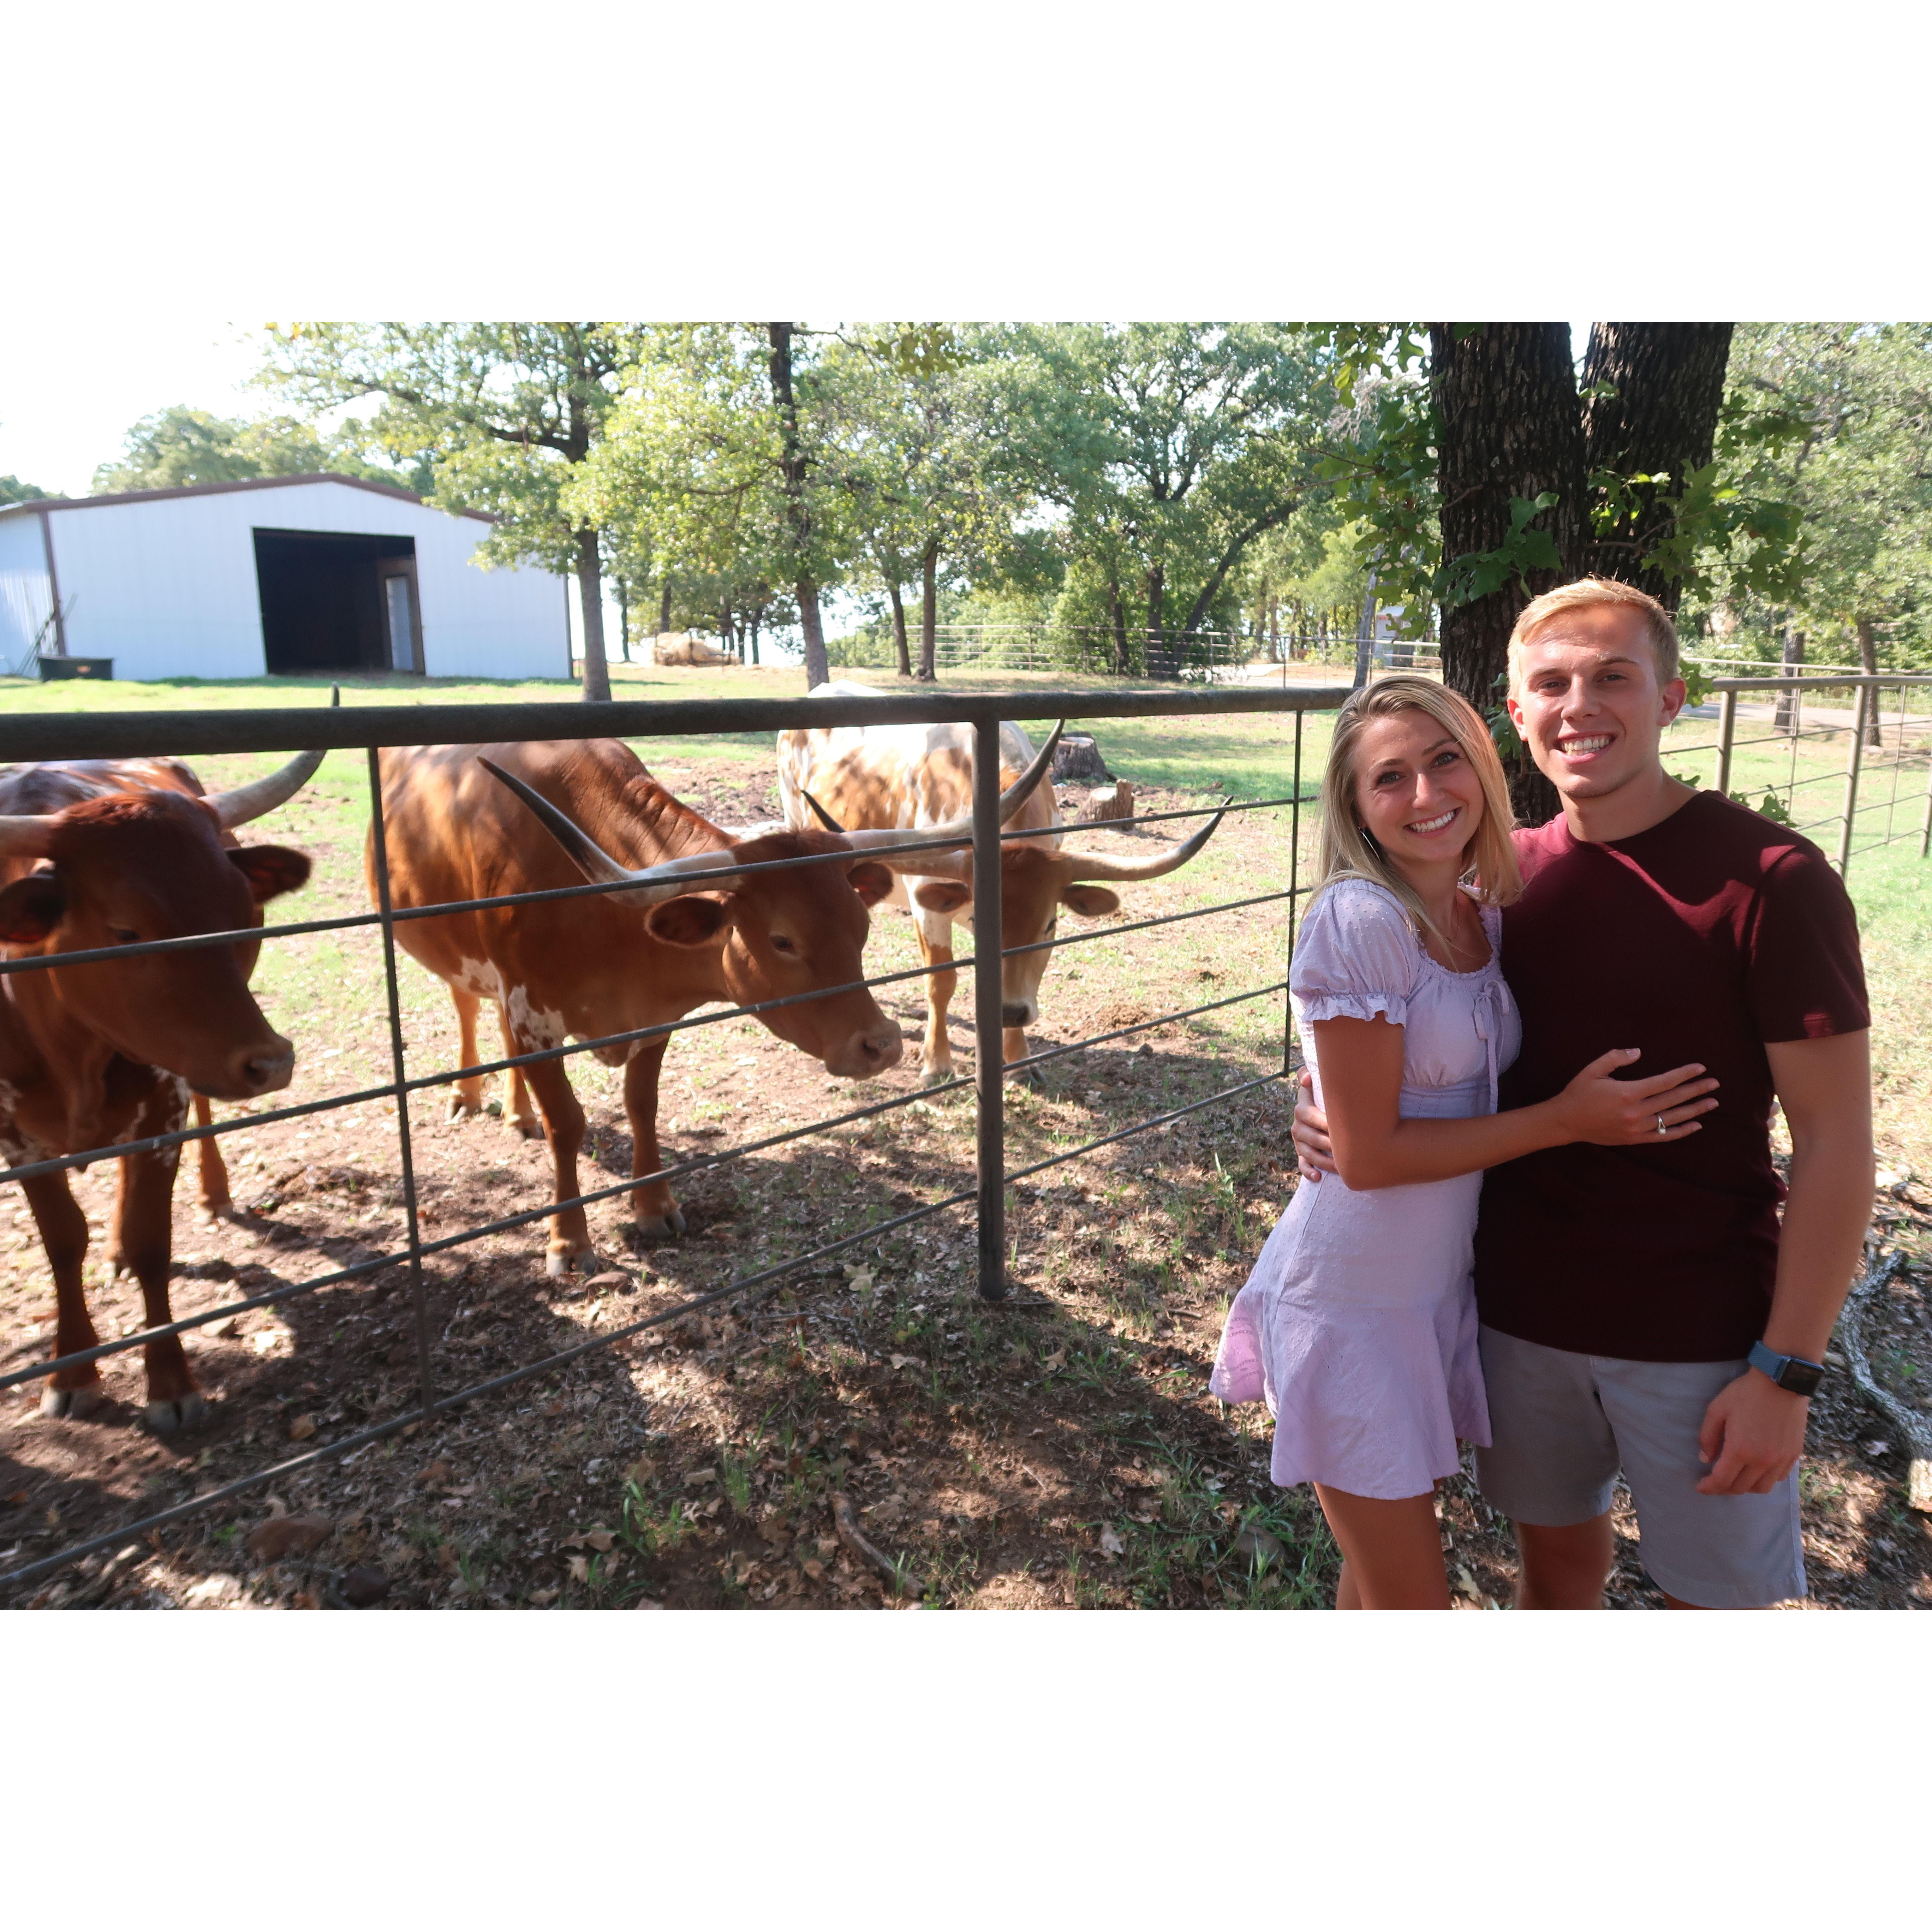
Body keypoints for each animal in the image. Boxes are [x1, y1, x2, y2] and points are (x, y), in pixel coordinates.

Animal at [0, 753, 317, 1437]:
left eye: (239, 914)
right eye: (126, 929)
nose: (273, 1061)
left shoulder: (162, 1111)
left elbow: (152, 1242)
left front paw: (171, 1384)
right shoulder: (17, 1139)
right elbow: (62, 1242)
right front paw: (73, 1373)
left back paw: (211, 1195)